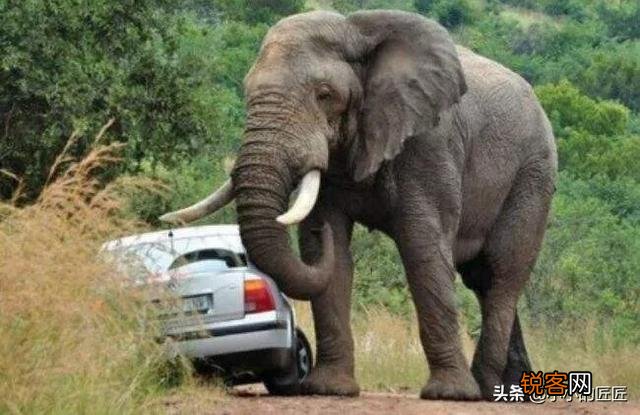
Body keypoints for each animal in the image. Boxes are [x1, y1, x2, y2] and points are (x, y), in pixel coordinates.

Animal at [161, 10, 557, 400]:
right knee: (481, 278)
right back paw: (512, 388)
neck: (355, 29)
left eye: (324, 94)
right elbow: (329, 252)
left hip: (533, 173)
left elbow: (422, 248)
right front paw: (329, 389)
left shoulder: (430, 143)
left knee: (503, 271)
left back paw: (486, 389)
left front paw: (450, 395)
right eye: (246, 91)